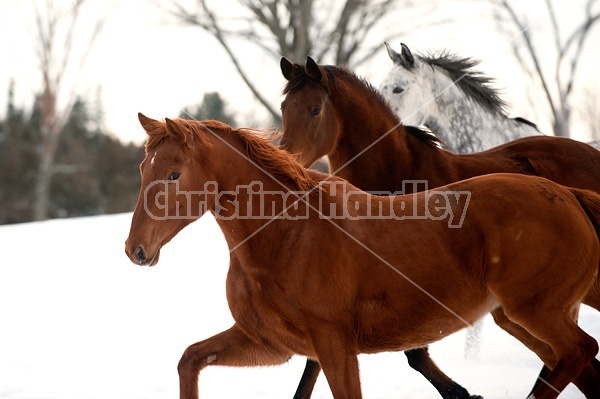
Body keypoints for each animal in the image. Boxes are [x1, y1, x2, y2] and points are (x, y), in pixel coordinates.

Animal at [123, 113, 600, 399]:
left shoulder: (333, 343)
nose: (136, 250)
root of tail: (569, 196)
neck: (287, 233)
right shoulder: (270, 343)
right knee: (583, 363)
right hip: (520, 316)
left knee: (581, 351)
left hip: (535, 311)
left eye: (173, 174)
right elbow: (190, 359)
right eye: (143, 169)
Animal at [278, 57, 600, 398]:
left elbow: (414, 354)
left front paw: (464, 393)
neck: (398, 172)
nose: (287, 159)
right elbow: (317, 360)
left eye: (315, 109)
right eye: (284, 107)